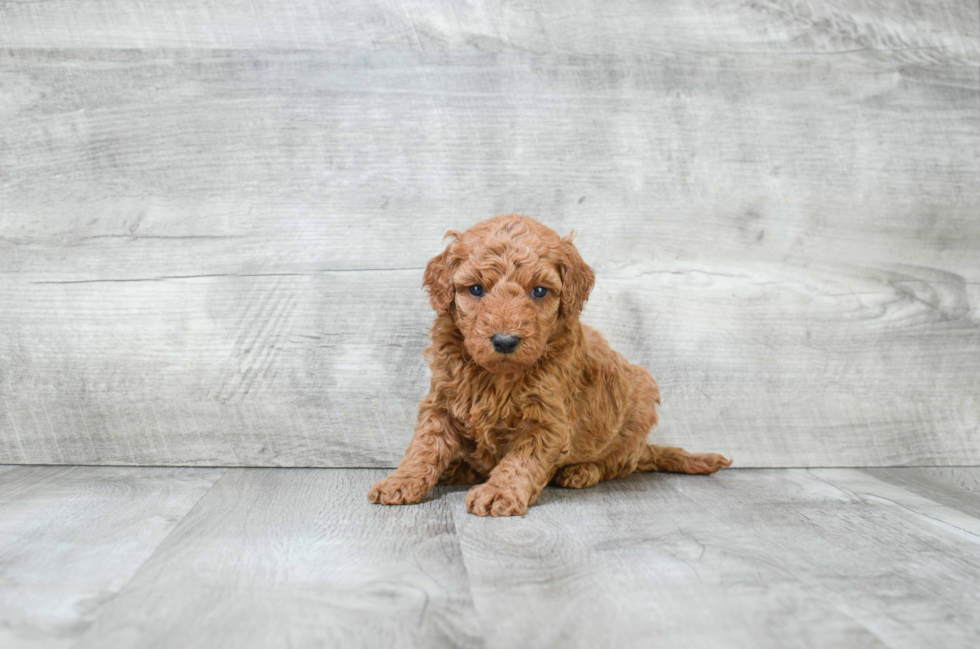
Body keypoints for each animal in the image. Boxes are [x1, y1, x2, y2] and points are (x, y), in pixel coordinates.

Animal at [372, 214, 732, 516]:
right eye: (475, 289)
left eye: (539, 291)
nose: (505, 341)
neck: (497, 376)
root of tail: (645, 448)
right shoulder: (442, 403)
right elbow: (424, 447)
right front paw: (400, 482)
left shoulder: (548, 422)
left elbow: (521, 460)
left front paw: (498, 492)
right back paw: (456, 469)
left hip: (639, 404)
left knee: (618, 464)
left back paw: (580, 471)